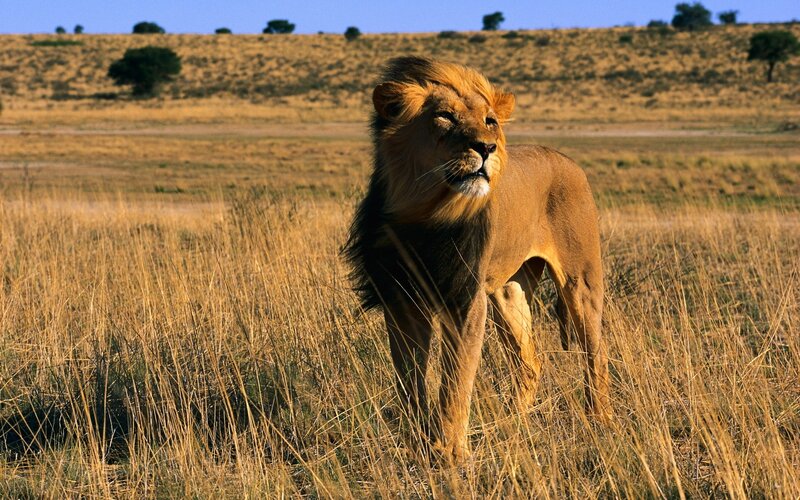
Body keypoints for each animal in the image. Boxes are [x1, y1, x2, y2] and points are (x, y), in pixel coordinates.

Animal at [344, 57, 612, 461]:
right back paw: (511, 424)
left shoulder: (465, 297)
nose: (486, 148)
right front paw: (418, 444)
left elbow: (456, 380)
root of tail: (566, 159)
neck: (425, 212)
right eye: (444, 117)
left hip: (580, 281)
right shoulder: (402, 298)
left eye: (490, 121)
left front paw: (450, 454)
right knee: (530, 363)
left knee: (595, 353)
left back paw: (599, 421)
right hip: (508, 292)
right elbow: (409, 380)